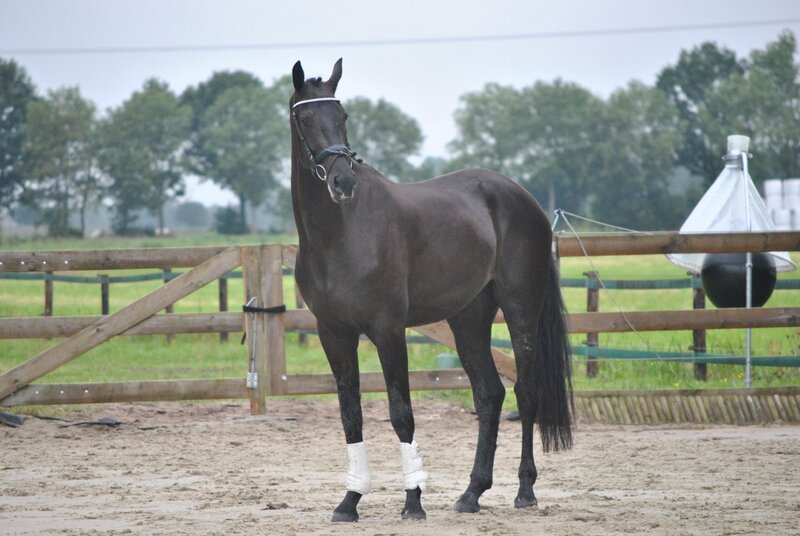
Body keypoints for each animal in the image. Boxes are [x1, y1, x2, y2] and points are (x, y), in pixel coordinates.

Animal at [289, 59, 573, 522]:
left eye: (343, 115)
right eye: (307, 117)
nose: (343, 181)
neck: (340, 233)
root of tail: (523, 198)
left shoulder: (388, 329)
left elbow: (402, 414)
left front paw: (413, 501)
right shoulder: (334, 333)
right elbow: (351, 416)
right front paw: (350, 501)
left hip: (520, 308)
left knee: (525, 393)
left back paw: (525, 491)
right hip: (468, 318)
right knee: (490, 395)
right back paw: (472, 493)